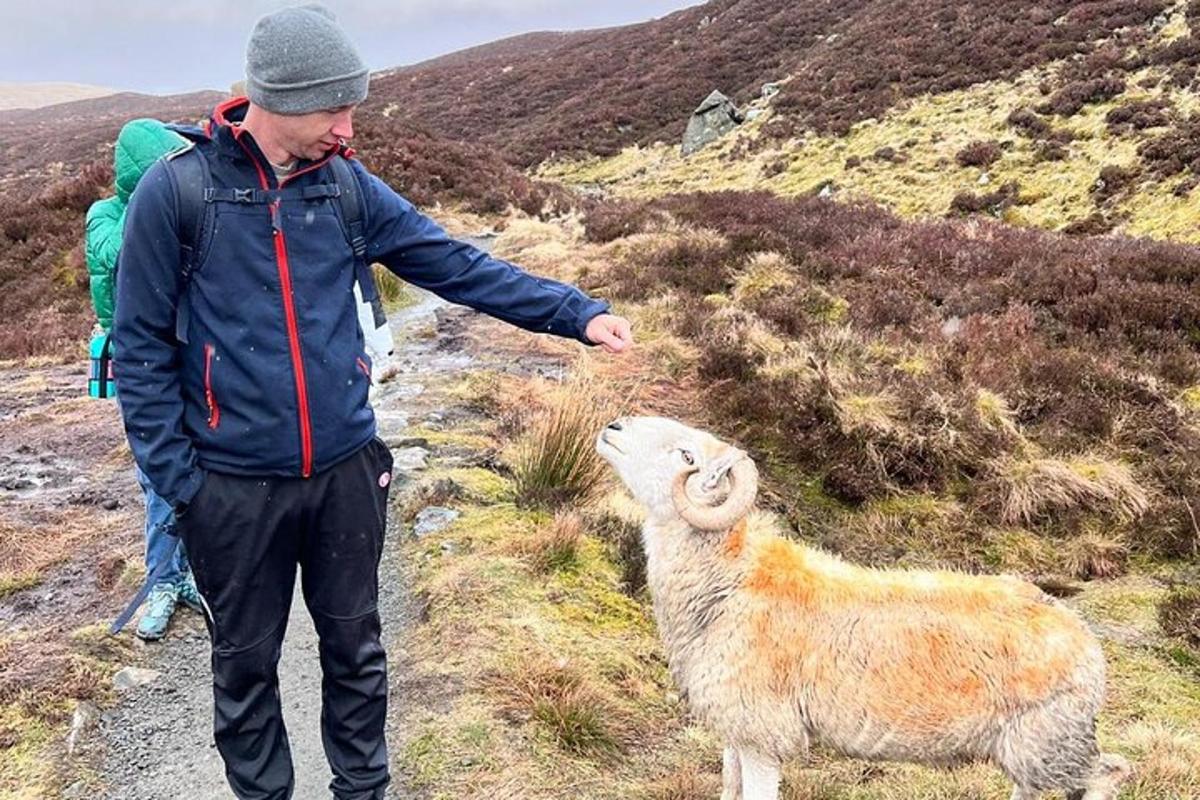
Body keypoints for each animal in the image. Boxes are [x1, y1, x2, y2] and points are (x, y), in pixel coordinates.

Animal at [595, 417, 1128, 800]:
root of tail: (1085, 639)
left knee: (1109, 774)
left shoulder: (764, 736)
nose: (612, 427)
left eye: (686, 455)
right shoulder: (737, 730)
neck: (730, 582)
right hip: (1033, 746)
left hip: (1050, 740)